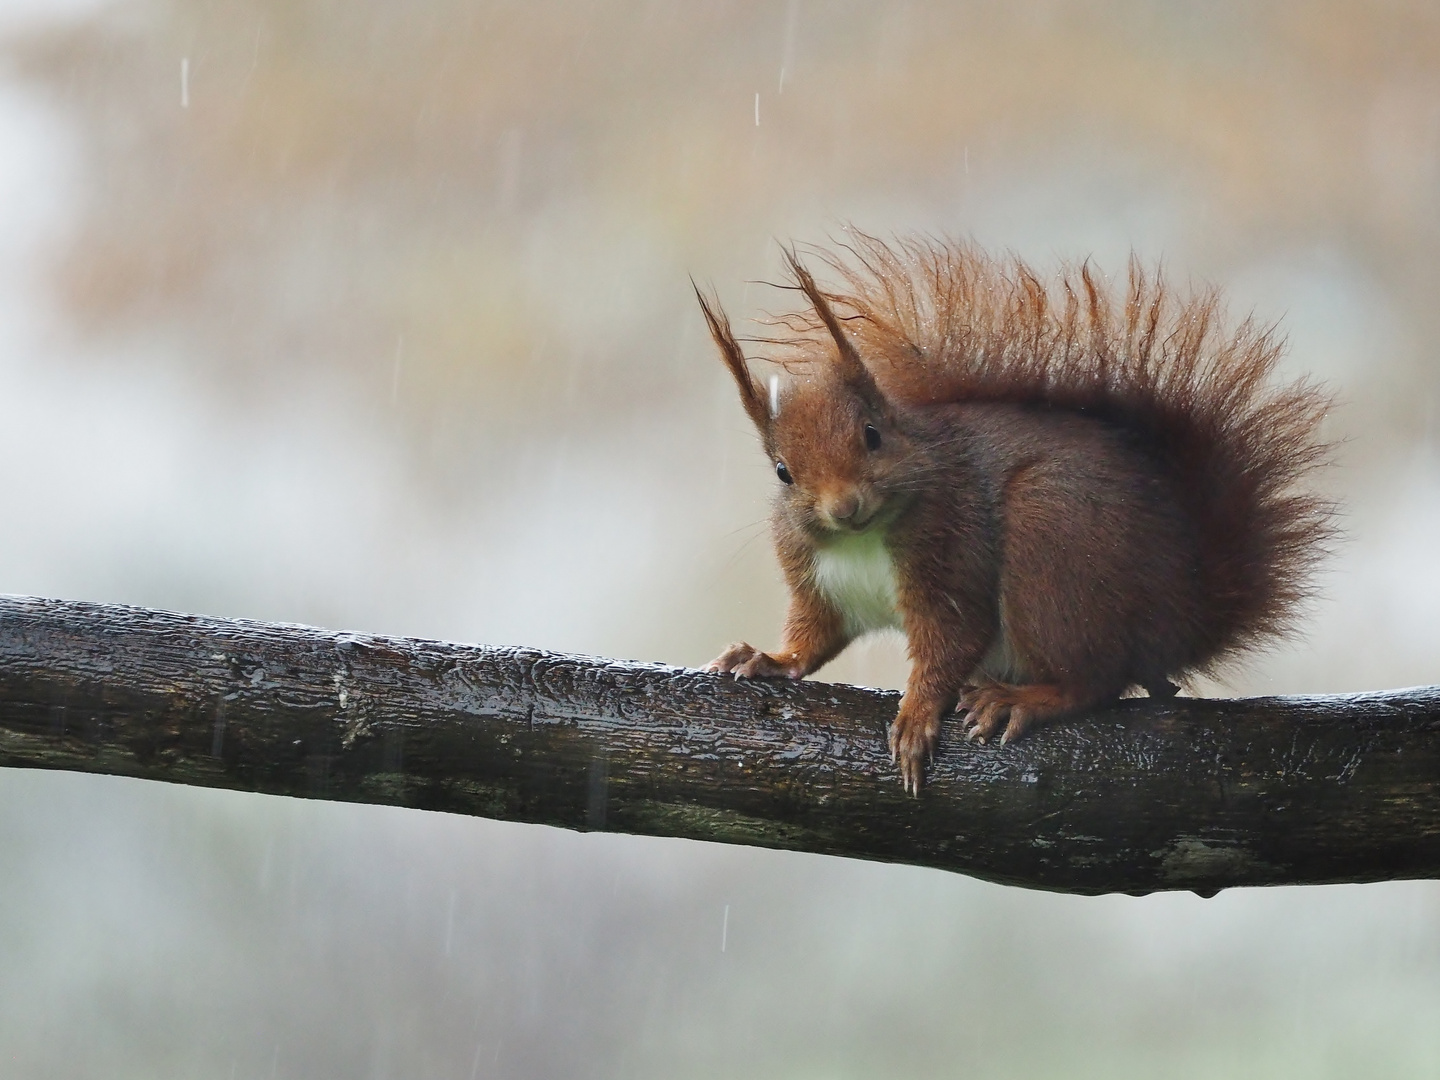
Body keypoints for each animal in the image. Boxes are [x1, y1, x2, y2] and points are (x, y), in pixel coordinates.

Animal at [696, 234, 1324, 794]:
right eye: (783, 471)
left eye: (872, 435)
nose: (846, 507)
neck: (863, 541)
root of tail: (1189, 613)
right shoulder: (818, 582)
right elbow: (815, 636)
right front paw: (766, 658)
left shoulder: (952, 552)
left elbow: (951, 640)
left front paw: (917, 714)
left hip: (1050, 539)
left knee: (1096, 679)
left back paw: (1027, 698)